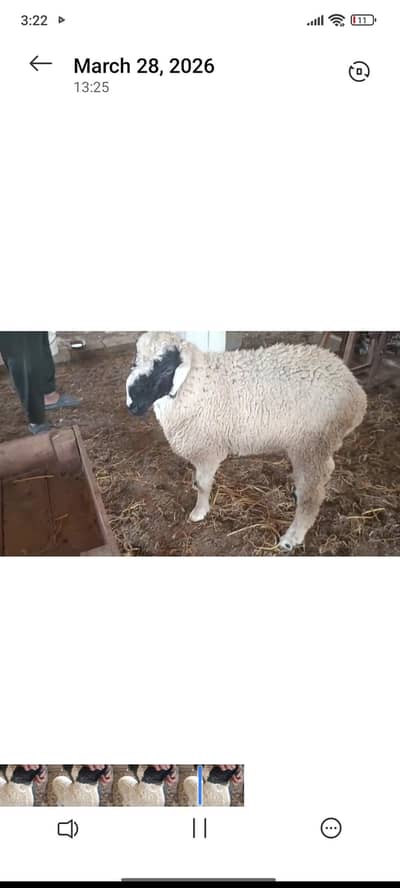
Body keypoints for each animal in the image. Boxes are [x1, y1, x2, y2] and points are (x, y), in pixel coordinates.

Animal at [126, 332, 367, 550]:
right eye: (135, 362)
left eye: (167, 369)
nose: (132, 405)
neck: (197, 384)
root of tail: (356, 391)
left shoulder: (208, 450)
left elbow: (203, 485)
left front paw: (199, 512)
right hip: (316, 445)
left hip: (311, 445)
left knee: (313, 495)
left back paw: (292, 537)